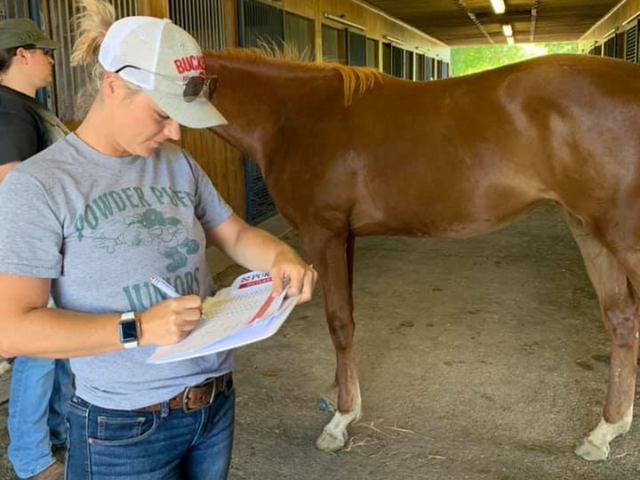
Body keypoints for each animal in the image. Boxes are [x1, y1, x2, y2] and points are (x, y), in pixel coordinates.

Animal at [205, 49, 640, 462]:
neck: (291, 115)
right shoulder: (345, 236)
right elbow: (346, 317)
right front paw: (336, 394)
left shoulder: (323, 233)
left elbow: (339, 323)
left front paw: (341, 420)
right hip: (588, 229)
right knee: (621, 321)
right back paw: (604, 431)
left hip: (620, 237)